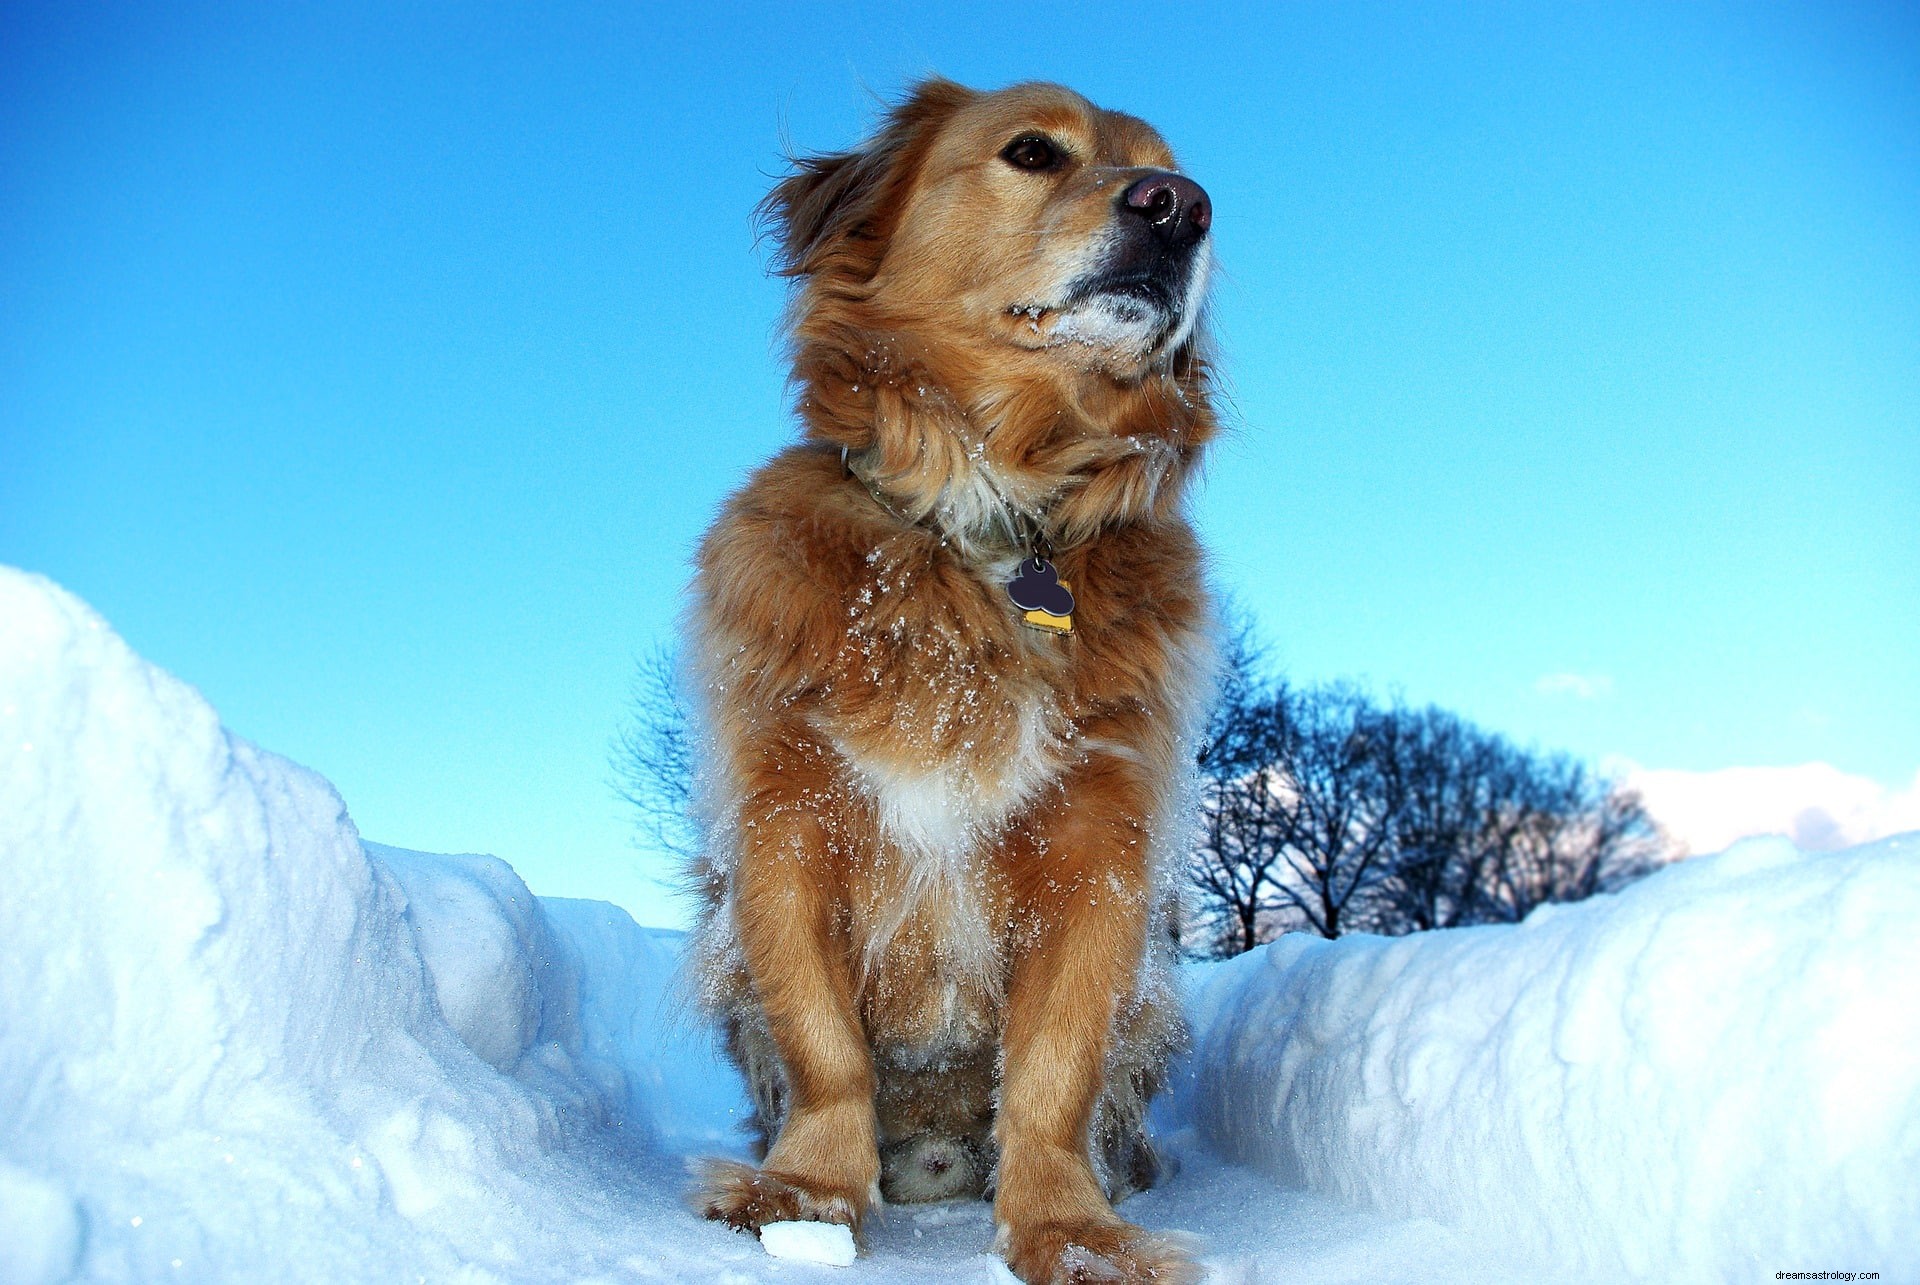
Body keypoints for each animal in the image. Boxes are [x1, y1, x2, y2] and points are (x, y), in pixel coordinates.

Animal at [687, 80, 1213, 1283]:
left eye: (1176, 173)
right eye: (1033, 151)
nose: (1181, 207)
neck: (989, 522)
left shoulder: (1100, 848)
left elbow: (1058, 1067)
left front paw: (1070, 1231)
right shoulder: (785, 819)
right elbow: (823, 1041)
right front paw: (805, 1196)